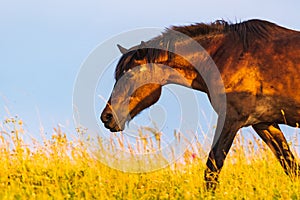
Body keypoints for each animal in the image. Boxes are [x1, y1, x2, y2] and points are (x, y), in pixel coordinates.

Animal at [101, 19, 300, 190]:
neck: (226, 56)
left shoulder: (231, 119)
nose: (107, 117)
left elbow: (212, 168)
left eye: (130, 75)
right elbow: (290, 165)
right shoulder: (264, 123)